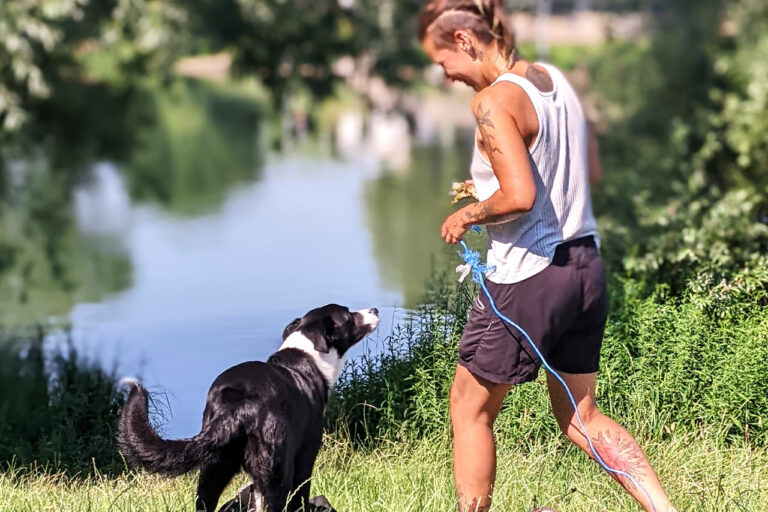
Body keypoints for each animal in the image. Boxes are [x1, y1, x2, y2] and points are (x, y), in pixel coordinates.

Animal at [118, 304, 380, 512]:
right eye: (348, 315)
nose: (375, 310)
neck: (308, 355)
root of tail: (240, 403)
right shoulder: (305, 457)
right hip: (277, 471)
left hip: (215, 468)